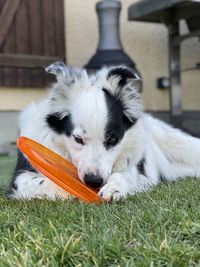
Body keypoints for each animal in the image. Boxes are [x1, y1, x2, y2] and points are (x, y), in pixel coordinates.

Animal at [8, 62, 200, 201]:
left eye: (112, 140)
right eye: (78, 139)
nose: (94, 181)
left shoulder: (137, 169)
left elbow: (124, 175)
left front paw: (114, 188)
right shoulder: (19, 179)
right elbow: (44, 182)